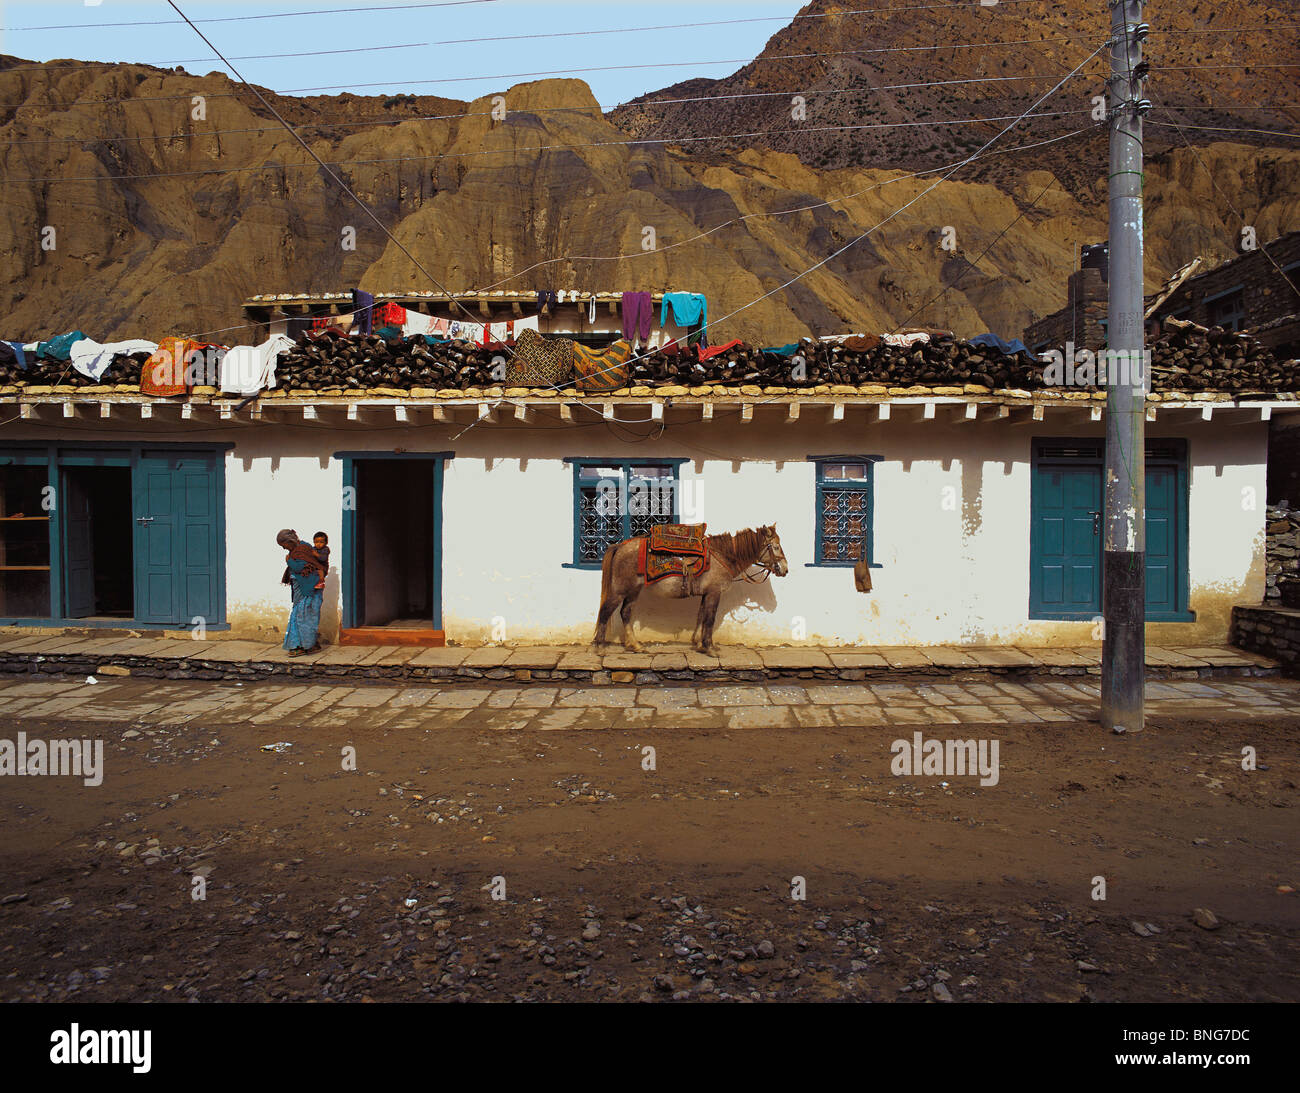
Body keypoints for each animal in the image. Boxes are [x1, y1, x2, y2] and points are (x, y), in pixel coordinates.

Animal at [592, 525, 790, 652]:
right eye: (775, 546)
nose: (785, 569)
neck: (722, 556)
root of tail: (620, 545)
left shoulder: (706, 594)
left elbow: (701, 615)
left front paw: (698, 643)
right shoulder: (714, 593)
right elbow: (710, 619)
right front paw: (709, 647)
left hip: (634, 590)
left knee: (625, 613)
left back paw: (635, 645)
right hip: (620, 590)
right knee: (605, 611)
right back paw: (600, 646)